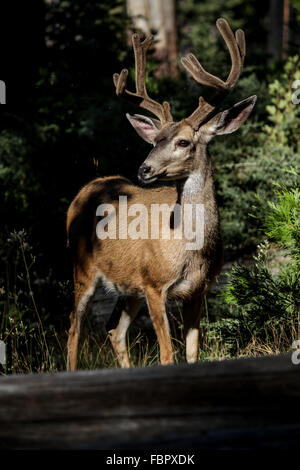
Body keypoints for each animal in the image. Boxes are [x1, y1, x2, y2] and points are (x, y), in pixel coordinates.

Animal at [67, 17, 256, 370]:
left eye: (183, 142)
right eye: (154, 141)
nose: (144, 169)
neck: (190, 248)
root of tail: (86, 188)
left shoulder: (197, 290)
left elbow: (192, 353)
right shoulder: (154, 284)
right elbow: (168, 355)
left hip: (128, 286)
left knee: (114, 330)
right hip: (82, 265)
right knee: (74, 327)